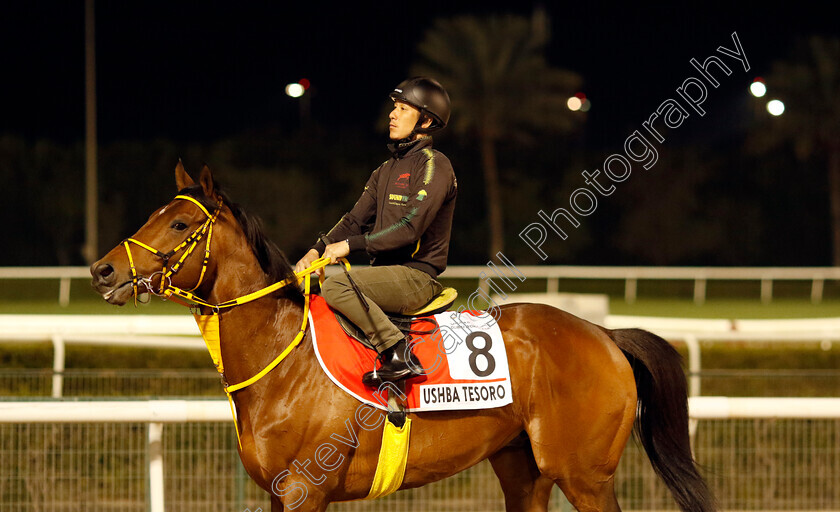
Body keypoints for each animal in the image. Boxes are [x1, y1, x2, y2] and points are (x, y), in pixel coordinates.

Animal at [90, 164, 716, 512]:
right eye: (152, 214)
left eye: (178, 224)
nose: (102, 270)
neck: (282, 358)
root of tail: (603, 334)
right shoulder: (275, 493)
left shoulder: (304, 491)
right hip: (523, 470)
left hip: (584, 476)